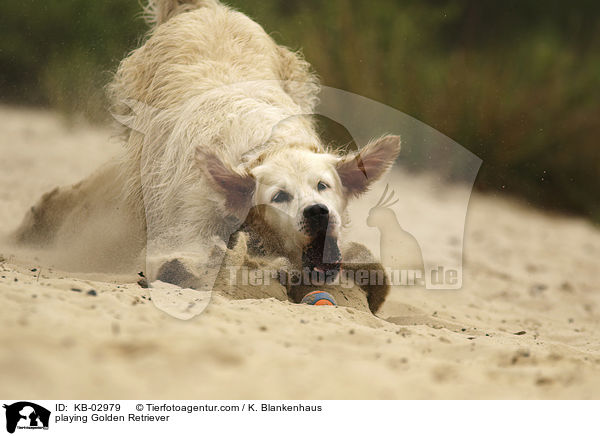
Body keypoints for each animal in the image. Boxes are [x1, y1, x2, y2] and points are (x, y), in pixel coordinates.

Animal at [11, 0, 400, 304]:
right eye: (279, 196)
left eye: (323, 186)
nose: (318, 212)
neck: (261, 149)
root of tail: (206, 8)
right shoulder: (185, 233)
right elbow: (188, 265)